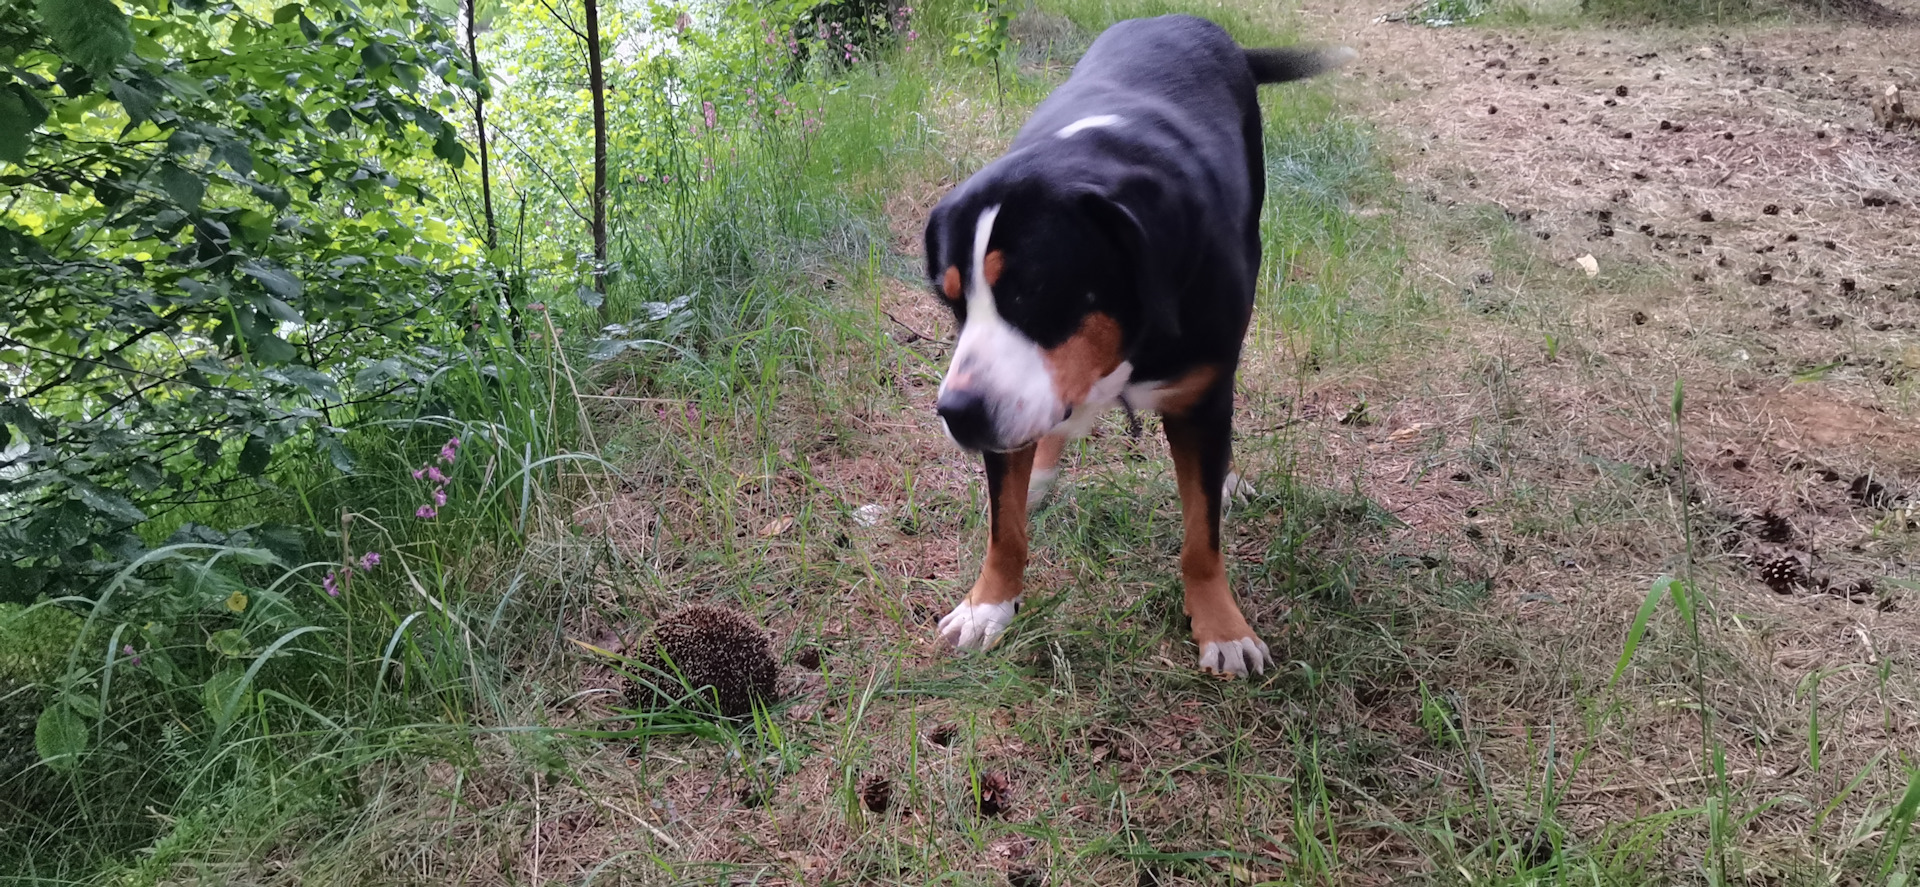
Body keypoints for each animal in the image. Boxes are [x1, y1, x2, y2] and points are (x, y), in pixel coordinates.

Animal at [925, 13, 1351, 675]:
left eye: (1034, 289)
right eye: (953, 302)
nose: (958, 414)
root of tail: (1186, 20)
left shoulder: (1200, 397)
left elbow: (1201, 538)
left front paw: (1223, 627)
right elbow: (1005, 529)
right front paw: (985, 605)